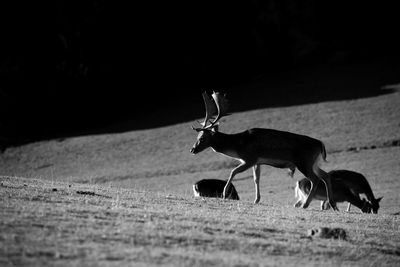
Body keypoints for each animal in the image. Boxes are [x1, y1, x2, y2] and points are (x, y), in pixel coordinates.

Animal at [189, 92, 336, 211]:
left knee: (315, 179)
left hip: (304, 161)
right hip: (314, 163)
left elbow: (233, 171)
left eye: (202, 137)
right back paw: (333, 204)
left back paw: (305, 205)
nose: (192, 149)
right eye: (197, 137)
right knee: (325, 176)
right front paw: (256, 200)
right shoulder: (257, 161)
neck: (239, 145)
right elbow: (256, 179)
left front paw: (224, 194)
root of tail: (320, 144)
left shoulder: (250, 158)